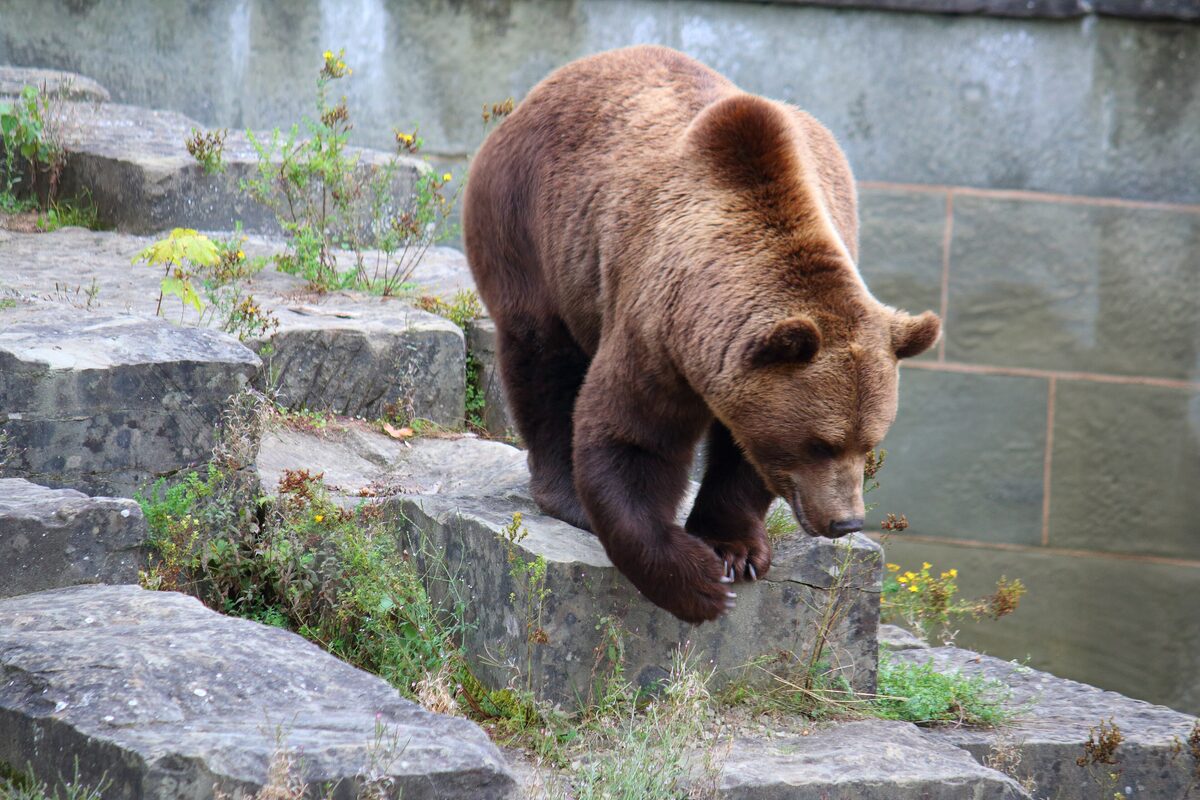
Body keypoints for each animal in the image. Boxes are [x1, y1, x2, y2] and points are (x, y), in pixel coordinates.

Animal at [462, 45, 941, 624]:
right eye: (821, 444)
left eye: (870, 443)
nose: (845, 522)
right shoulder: (656, 324)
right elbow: (632, 435)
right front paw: (698, 581)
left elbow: (744, 458)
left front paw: (735, 550)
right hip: (526, 226)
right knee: (541, 358)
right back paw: (564, 493)